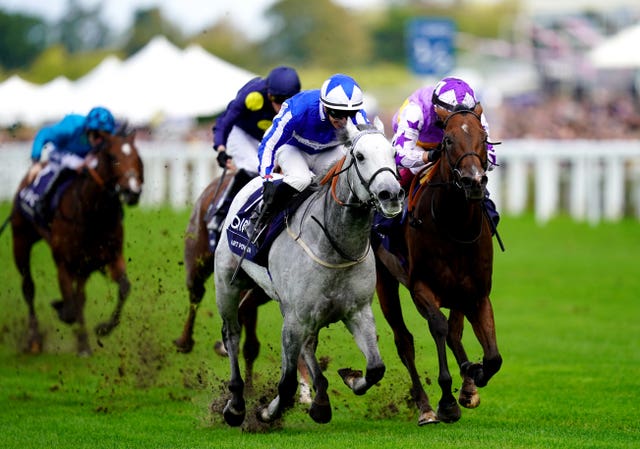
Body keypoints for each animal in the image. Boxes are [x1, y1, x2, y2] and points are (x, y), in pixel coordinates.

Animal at [8, 127, 144, 356]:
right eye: (112, 157)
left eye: (137, 157)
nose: (132, 191)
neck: (93, 214)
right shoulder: (64, 263)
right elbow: (70, 307)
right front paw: (60, 307)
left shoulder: (108, 257)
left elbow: (124, 288)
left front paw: (103, 329)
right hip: (21, 241)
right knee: (28, 288)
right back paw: (34, 340)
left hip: (82, 266)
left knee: (79, 297)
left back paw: (83, 345)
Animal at [215, 117, 404, 426]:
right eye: (360, 156)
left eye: (393, 153)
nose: (391, 195)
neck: (335, 247)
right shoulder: (295, 319)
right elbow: (287, 382)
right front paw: (267, 412)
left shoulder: (357, 310)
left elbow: (376, 367)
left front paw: (350, 378)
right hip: (227, 283)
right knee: (231, 334)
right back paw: (236, 405)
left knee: (308, 345)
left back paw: (321, 401)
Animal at [372, 103, 502, 426]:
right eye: (448, 140)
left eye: (484, 138)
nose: (473, 181)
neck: (455, 226)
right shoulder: (421, 287)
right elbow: (438, 327)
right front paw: (446, 402)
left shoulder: (477, 293)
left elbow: (493, 357)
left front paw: (474, 374)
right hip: (385, 280)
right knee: (404, 341)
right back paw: (425, 407)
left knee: (456, 333)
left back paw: (468, 384)